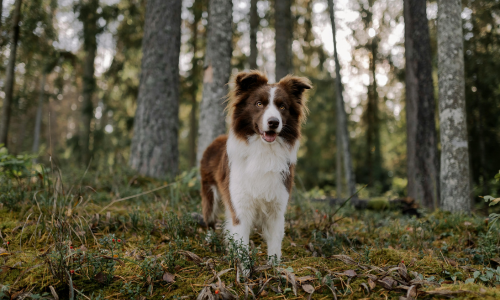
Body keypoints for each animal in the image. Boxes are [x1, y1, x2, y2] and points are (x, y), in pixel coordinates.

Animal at [200, 69, 310, 260]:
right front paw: (243, 268)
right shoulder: (240, 207)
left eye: (282, 107)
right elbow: (242, 245)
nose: (274, 122)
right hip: (209, 193)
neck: (264, 151)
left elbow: (275, 245)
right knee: (210, 221)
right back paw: (209, 241)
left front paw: (275, 268)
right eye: (259, 103)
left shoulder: (277, 207)